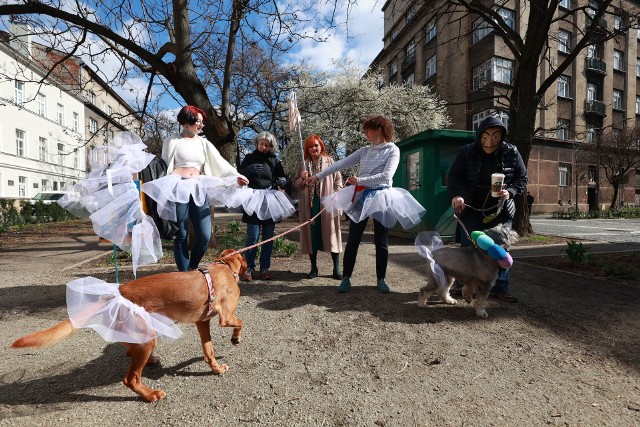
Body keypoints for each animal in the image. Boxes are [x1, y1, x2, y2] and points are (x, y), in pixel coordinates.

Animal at [10, 249, 245, 402]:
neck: (224, 267)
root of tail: (115, 295)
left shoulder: (202, 322)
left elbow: (208, 351)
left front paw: (216, 368)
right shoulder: (225, 317)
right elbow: (240, 322)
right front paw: (236, 338)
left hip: (140, 336)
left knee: (130, 352)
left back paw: (150, 362)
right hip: (147, 340)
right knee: (130, 378)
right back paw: (150, 395)